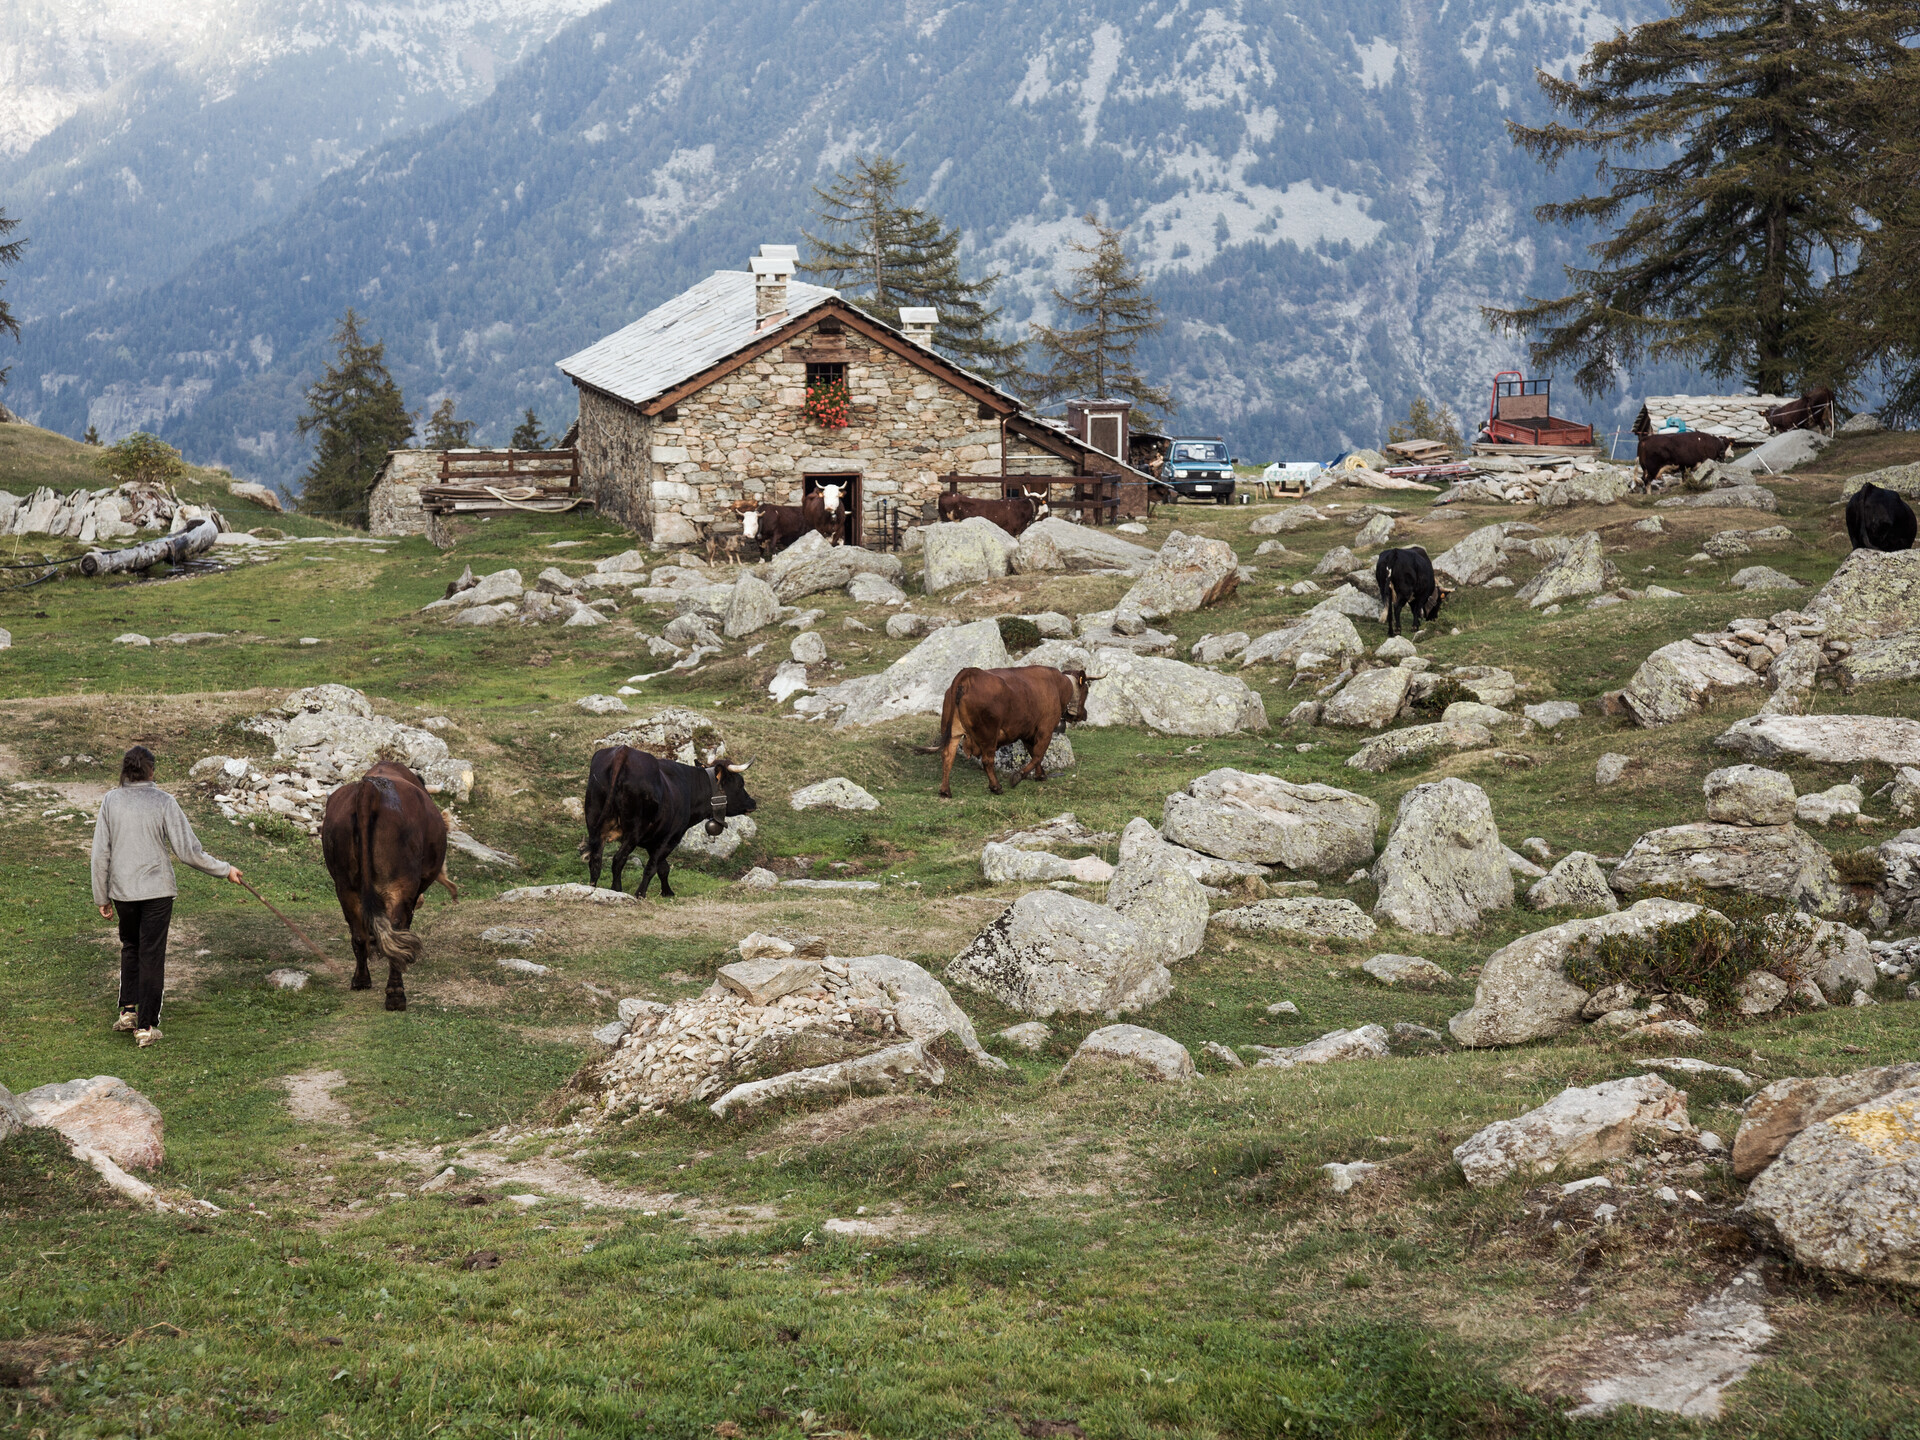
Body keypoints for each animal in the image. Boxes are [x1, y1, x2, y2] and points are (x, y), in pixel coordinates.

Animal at [322, 756, 460, 1013]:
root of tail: (369, 789)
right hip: (400, 885)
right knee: (397, 928)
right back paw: (396, 995)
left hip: (345, 886)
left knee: (358, 934)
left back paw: (361, 980)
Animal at [579, 748, 752, 898]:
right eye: (740, 783)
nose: (753, 802)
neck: (689, 789)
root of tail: (624, 751)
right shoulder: (671, 837)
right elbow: (652, 867)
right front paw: (640, 894)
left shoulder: (654, 839)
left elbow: (663, 868)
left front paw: (667, 892)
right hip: (634, 830)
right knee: (618, 859)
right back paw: (616, 890)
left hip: (594, 822)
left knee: (595, 860)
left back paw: (592, 888)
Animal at [917, 668, 1090, 802]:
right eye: (1087, 691)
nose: (1085, 714)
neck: (1059, 686)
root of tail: (969, 674)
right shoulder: (1045, 729)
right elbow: (1038, 754)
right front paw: (1019, 776)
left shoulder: (1027, 732)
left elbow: (1034, 753)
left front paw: (1040, 775)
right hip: (989, 734)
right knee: (987, 761)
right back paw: (996, 787)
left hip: (953, 731)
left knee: (948, 756)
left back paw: (945, 791)